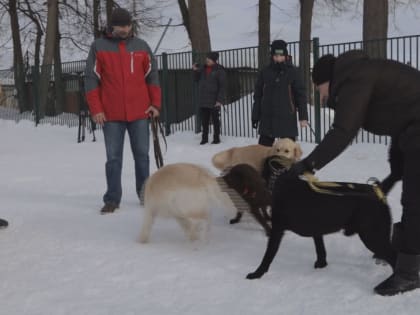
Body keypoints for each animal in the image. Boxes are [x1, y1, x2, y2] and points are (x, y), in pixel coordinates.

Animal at [240, 159, 398, 280]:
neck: (283, 182)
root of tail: (379, 191)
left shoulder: (277, 229)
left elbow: (268, 255)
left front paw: (257, 273)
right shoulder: (317, 230)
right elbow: (320, 249)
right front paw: (321, 264)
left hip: (372, 236)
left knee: (395, 257)